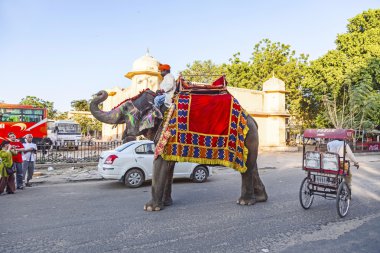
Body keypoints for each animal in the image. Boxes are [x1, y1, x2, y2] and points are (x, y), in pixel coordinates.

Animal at [90, 88, 268, 211]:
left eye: (125, 109)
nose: (100, 92)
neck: (162, 106)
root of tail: (252, 119)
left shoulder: (166, 133)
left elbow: (159, 162)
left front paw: (150, 208)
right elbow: (169, 166)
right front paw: (166, 204)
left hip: (248, 137)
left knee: (247, 167)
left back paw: (244, 202)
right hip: (251, 140)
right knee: (252, 165)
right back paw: (260, 199)